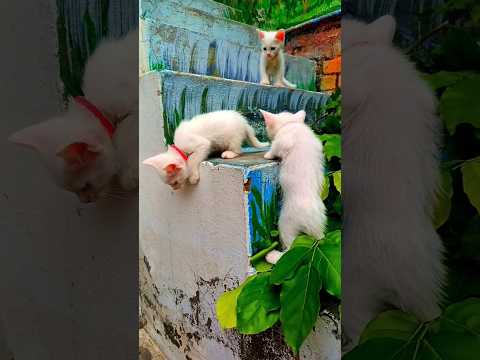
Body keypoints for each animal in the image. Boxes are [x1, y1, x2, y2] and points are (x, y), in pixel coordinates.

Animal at [8, 28, 138, 202]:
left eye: (86, 186)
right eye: (73, 192)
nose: (85, 201)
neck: (97, 105)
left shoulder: (132, 105)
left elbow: (125, 136)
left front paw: (128, 176)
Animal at [142, 110, 270, 190]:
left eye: (175, 183)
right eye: (171, 184)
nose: (174, 189)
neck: (179, 148)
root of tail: (244, 122)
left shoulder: (202, 144)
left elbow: (192, 160)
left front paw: (192, 176)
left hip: (233, 137)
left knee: (238, 150)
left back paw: (229, 153)